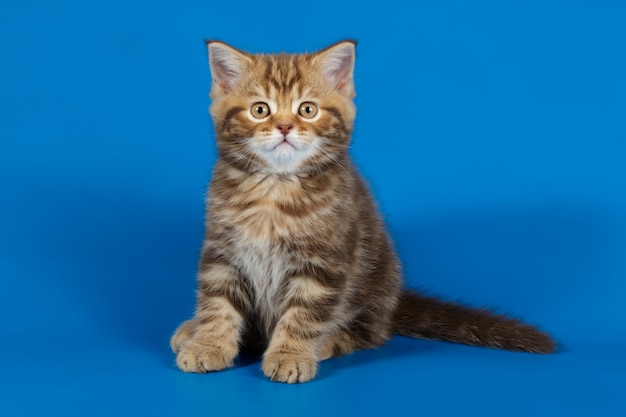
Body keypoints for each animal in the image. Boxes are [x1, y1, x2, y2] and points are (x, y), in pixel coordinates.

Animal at [168, 39, 552, 384]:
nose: (285, 127)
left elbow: (303, 314)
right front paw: (208, 344)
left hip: (377, 277)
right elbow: (217, 303)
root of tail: (394, 302)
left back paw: (329, 341)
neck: (275, 188)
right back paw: (191, 329)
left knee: (373, 333)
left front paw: (290, 354)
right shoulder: (221, 251)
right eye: (260, 109)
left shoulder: (324, 260)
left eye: (307, 110)